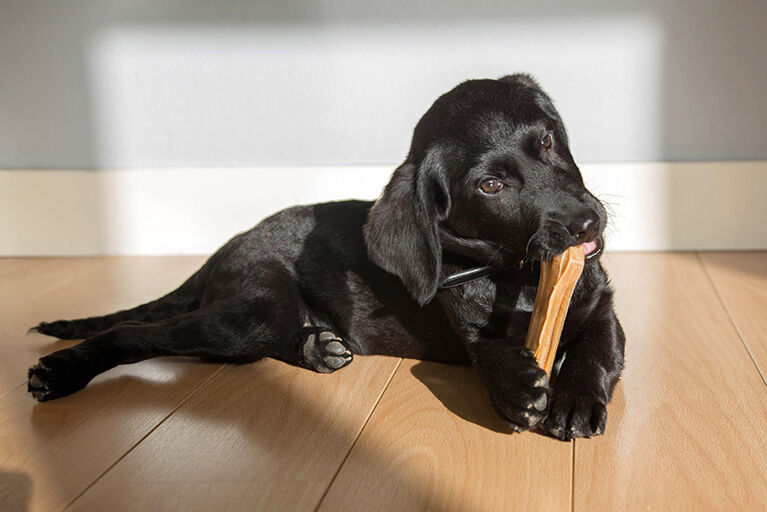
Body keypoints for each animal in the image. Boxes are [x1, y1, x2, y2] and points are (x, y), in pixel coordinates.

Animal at [28, 73, 624, 440]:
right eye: (491, 185)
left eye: (548, 141)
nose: (586, 223)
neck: (516, 273)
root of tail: (228, 246)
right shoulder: (470, 332)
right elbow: (490, 353)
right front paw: (519, 384)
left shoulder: (602, 307)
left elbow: (598, 350)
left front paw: (574, 400)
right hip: (255, 311)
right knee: (143, 335)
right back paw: (60, 372)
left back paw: (318, 347)